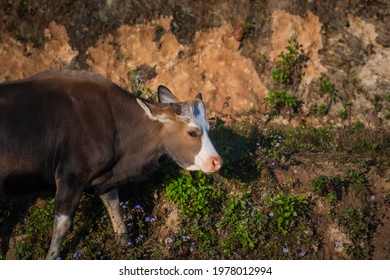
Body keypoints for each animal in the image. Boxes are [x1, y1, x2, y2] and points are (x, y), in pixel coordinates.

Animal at [0, 70, 222, 260]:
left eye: (209, 127)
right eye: (192, 132)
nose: (216, 162)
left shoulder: (104, 179)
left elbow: (114, 208)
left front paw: (125, 245)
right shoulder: (71, 175)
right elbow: (62, 223)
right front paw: (51, 256)